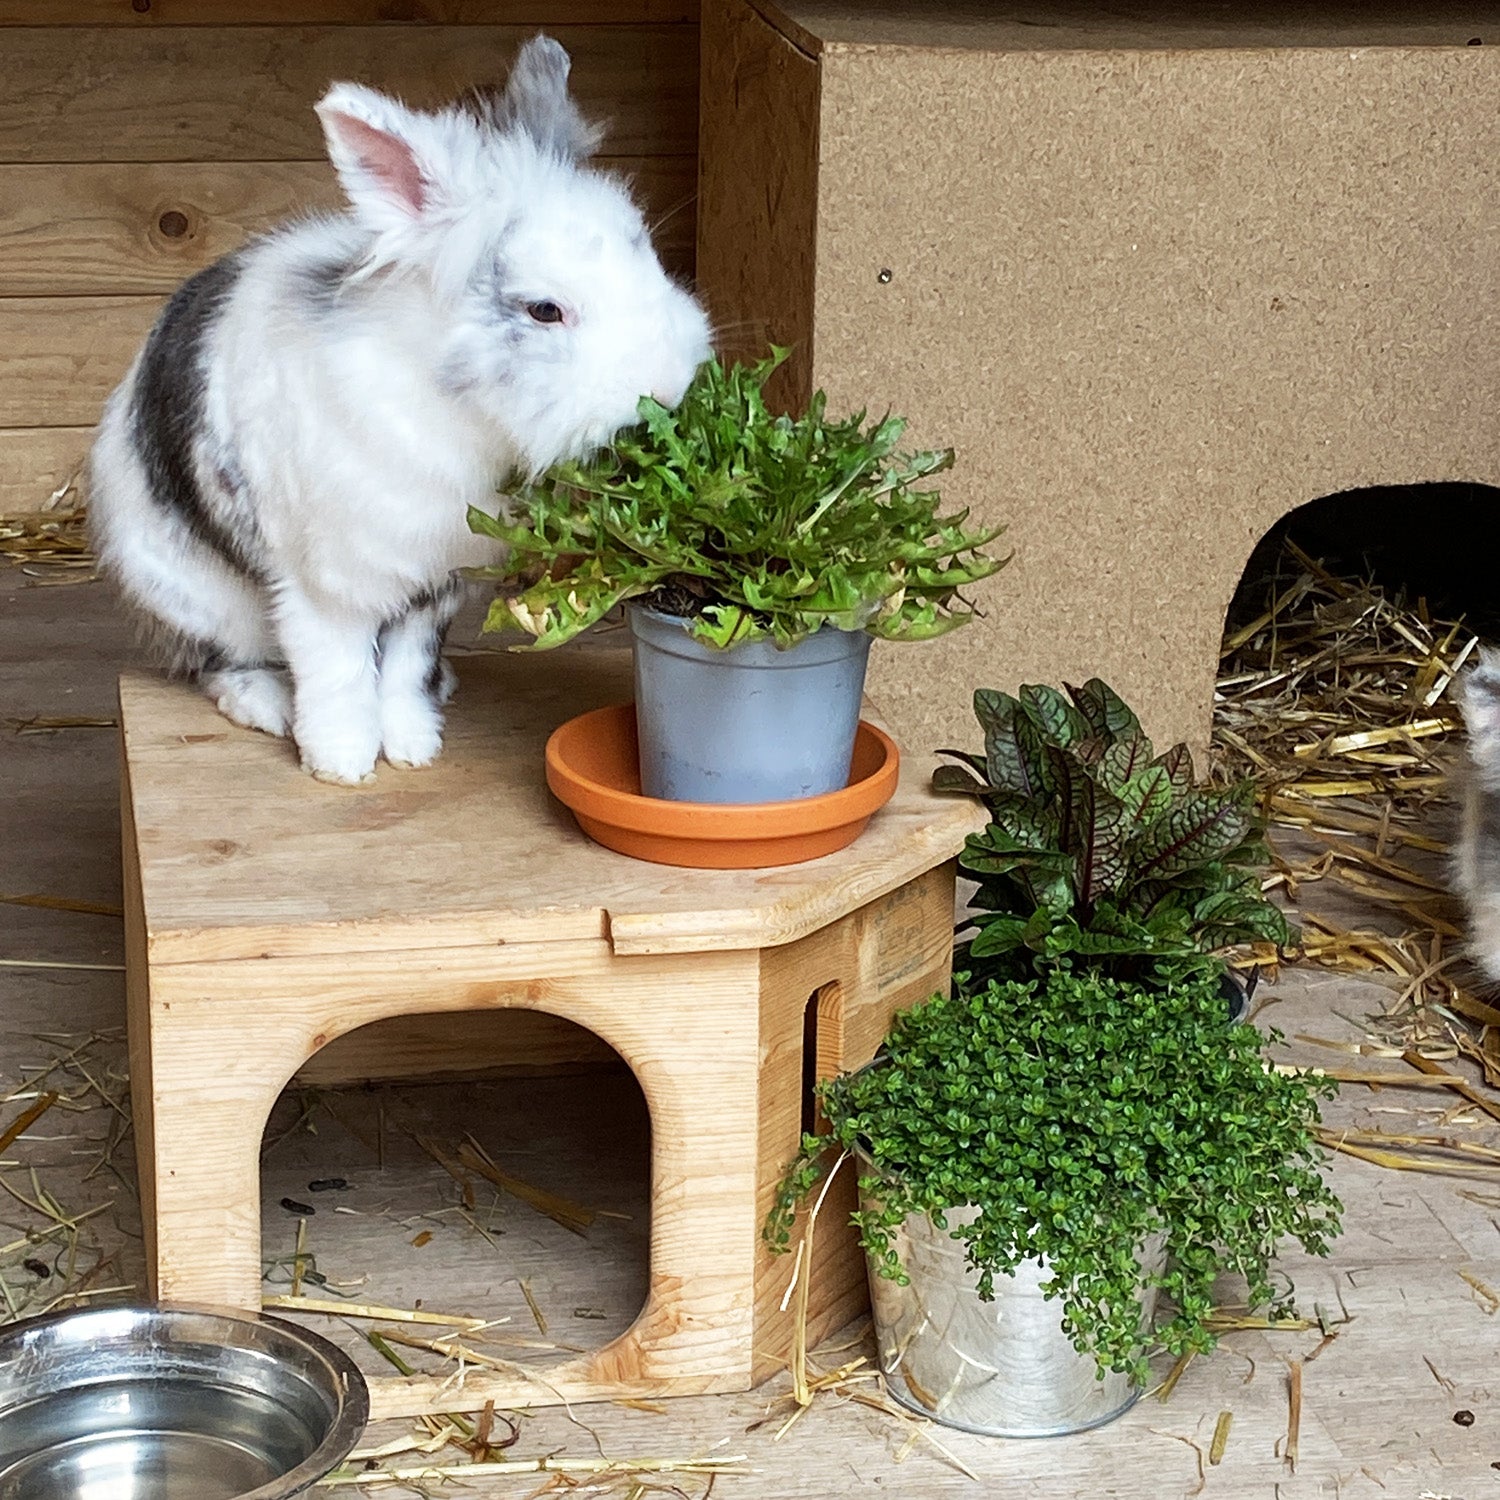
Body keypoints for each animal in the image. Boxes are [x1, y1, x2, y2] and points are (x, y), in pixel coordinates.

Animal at [88, 35, 711, 785]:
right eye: (544, 309)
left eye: (649, 262)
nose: (667, 391)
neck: (457, 408)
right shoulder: (325, 586)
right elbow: (337, 670)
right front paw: (342, 763)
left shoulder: (435, 581)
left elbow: (405, 667)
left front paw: (414, 745)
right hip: (197, 598)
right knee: (217, 663)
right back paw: (266, 703)